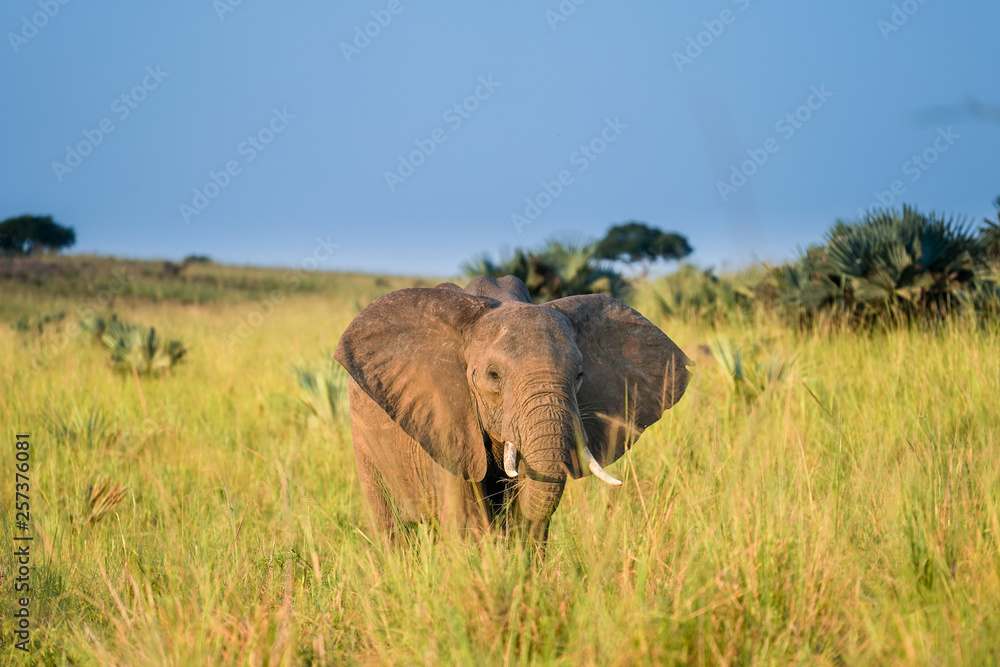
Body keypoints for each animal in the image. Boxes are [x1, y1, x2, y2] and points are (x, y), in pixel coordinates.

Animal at [334, 275, 692, 544]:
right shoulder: (447, 418)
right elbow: (467, 524)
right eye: (493, 376)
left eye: (579, 375)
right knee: (390, 529)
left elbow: (531, 520)